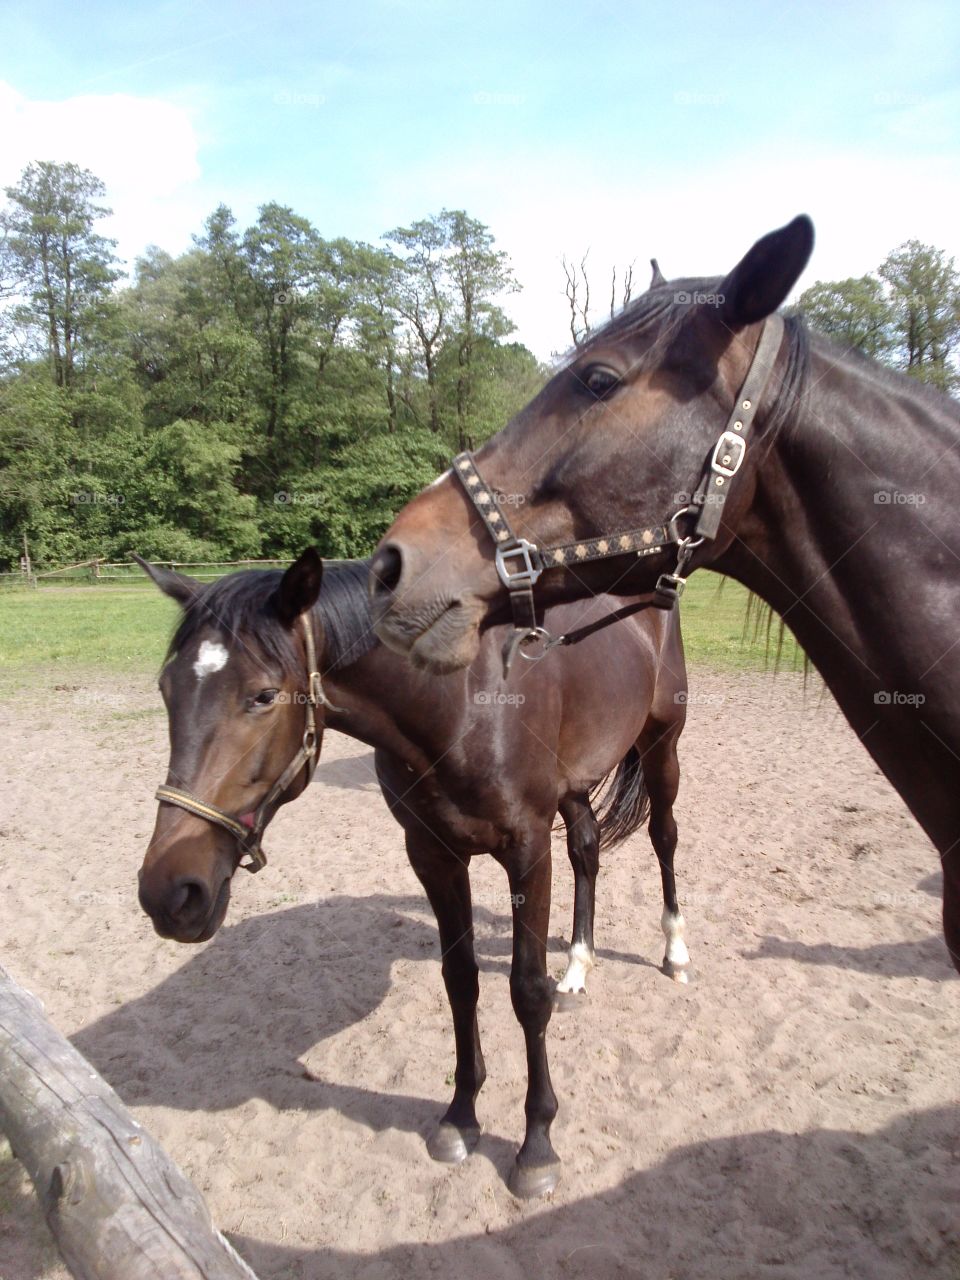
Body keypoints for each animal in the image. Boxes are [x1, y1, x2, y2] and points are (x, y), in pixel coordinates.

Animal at [135, 552, 691, 1198]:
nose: (170, 893)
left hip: (662, 744)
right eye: (166, 690)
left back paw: (676, 951)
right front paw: (461, 1116)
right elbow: (460, 981)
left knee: (664, 838)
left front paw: (537, 1146)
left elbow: (527, 993)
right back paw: (577, 967)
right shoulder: (432, 855)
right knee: (587, 849)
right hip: (574, 783)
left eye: (264, 695)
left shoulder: (527, 854)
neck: (464, 700)